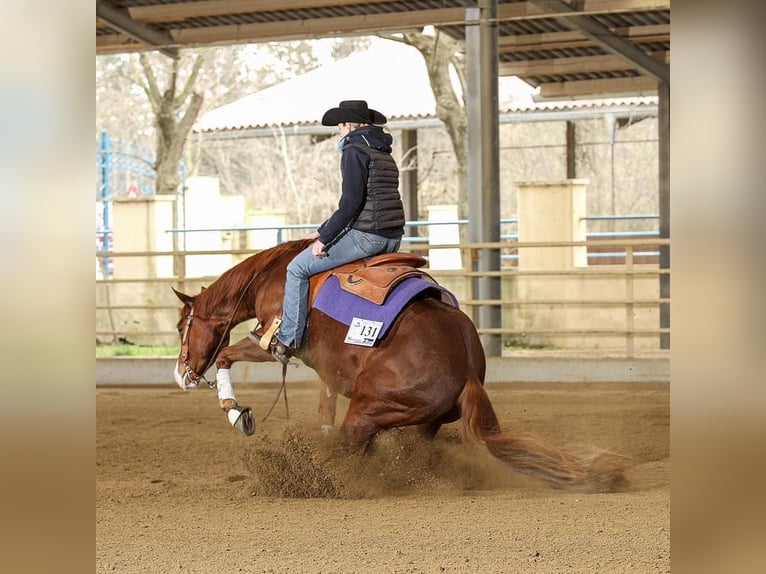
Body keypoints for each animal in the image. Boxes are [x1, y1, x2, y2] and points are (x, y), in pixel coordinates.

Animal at [172, 238, 625, 492]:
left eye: (180, 326)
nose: (181, 375)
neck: (276, 275)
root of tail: (466, 374)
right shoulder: (326, 369)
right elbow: (324, 403)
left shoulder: (272, 343)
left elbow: (227, 356)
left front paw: (236, 413)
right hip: (420, 422)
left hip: (369, 410)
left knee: (351, 447)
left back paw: (319, 478)